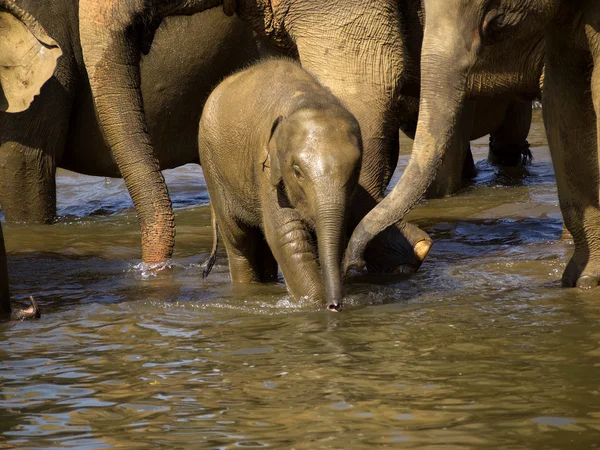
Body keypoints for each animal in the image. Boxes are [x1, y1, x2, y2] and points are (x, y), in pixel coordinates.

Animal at [200, 59, 360, 310]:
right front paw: (315, 303)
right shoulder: (266, 169)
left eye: (355, 170)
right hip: (212, 167)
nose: (335, 305)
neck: (306, 99)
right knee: (239, 240)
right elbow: (285, 234)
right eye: (296, 171)